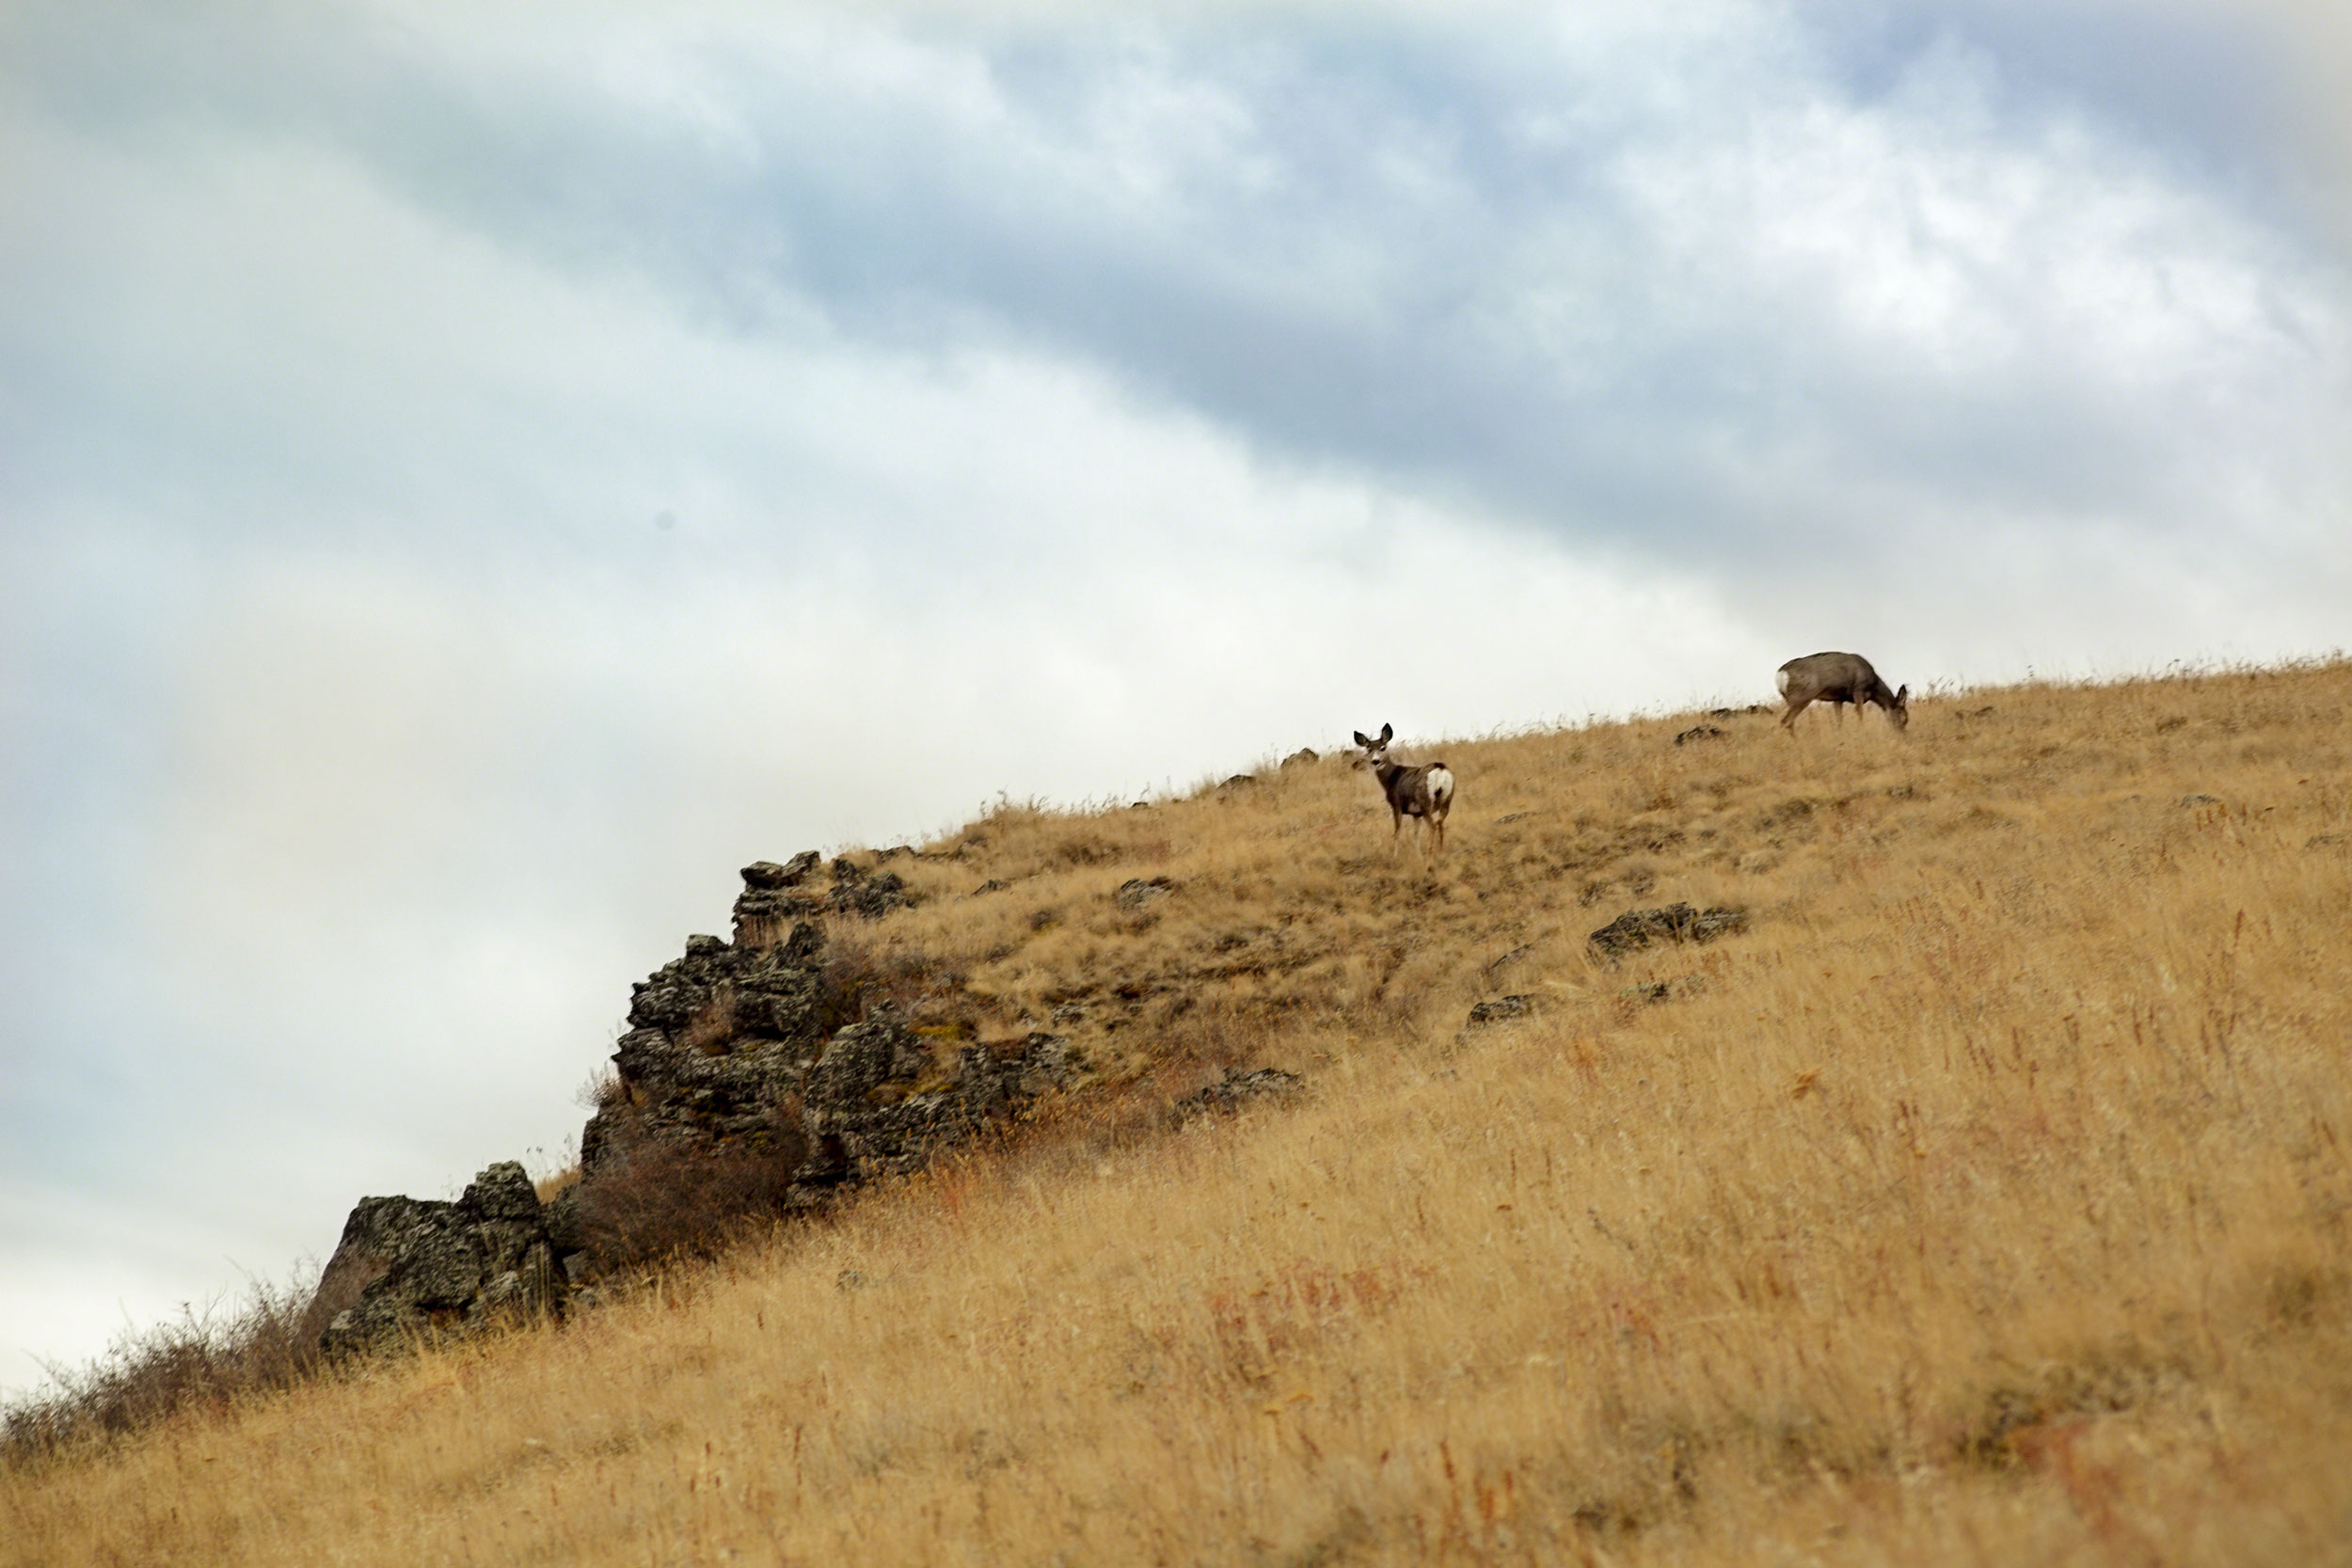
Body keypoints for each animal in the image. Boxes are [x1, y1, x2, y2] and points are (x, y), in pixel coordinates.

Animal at [1355, 728, 1458, 860]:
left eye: (1383, 748)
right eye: (1368, 748)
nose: (1376, 761)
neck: (1391, 778)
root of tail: (1440, 769)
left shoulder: (1396, 804)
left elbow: (1397, 831)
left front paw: (1395, 856)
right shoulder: (1416, 813)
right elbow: (1415, 834)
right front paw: (1419, 855)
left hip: (1425, 803)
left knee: (1432, 825)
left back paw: (1430, 853)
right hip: (1446, 800)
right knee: (1440, 823)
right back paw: (1440, 852)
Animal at [1778, 653, 1910, 733]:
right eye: (1903, 716)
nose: (1902, 733)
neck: (1873, 687)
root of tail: (1780, 673)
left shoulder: (1838, 698)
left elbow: (1839, 721)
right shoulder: (1858, 690)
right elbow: (1860, 714)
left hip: (1792, 699)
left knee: (1789, 722)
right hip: (1802, 697)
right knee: (1785, 721)